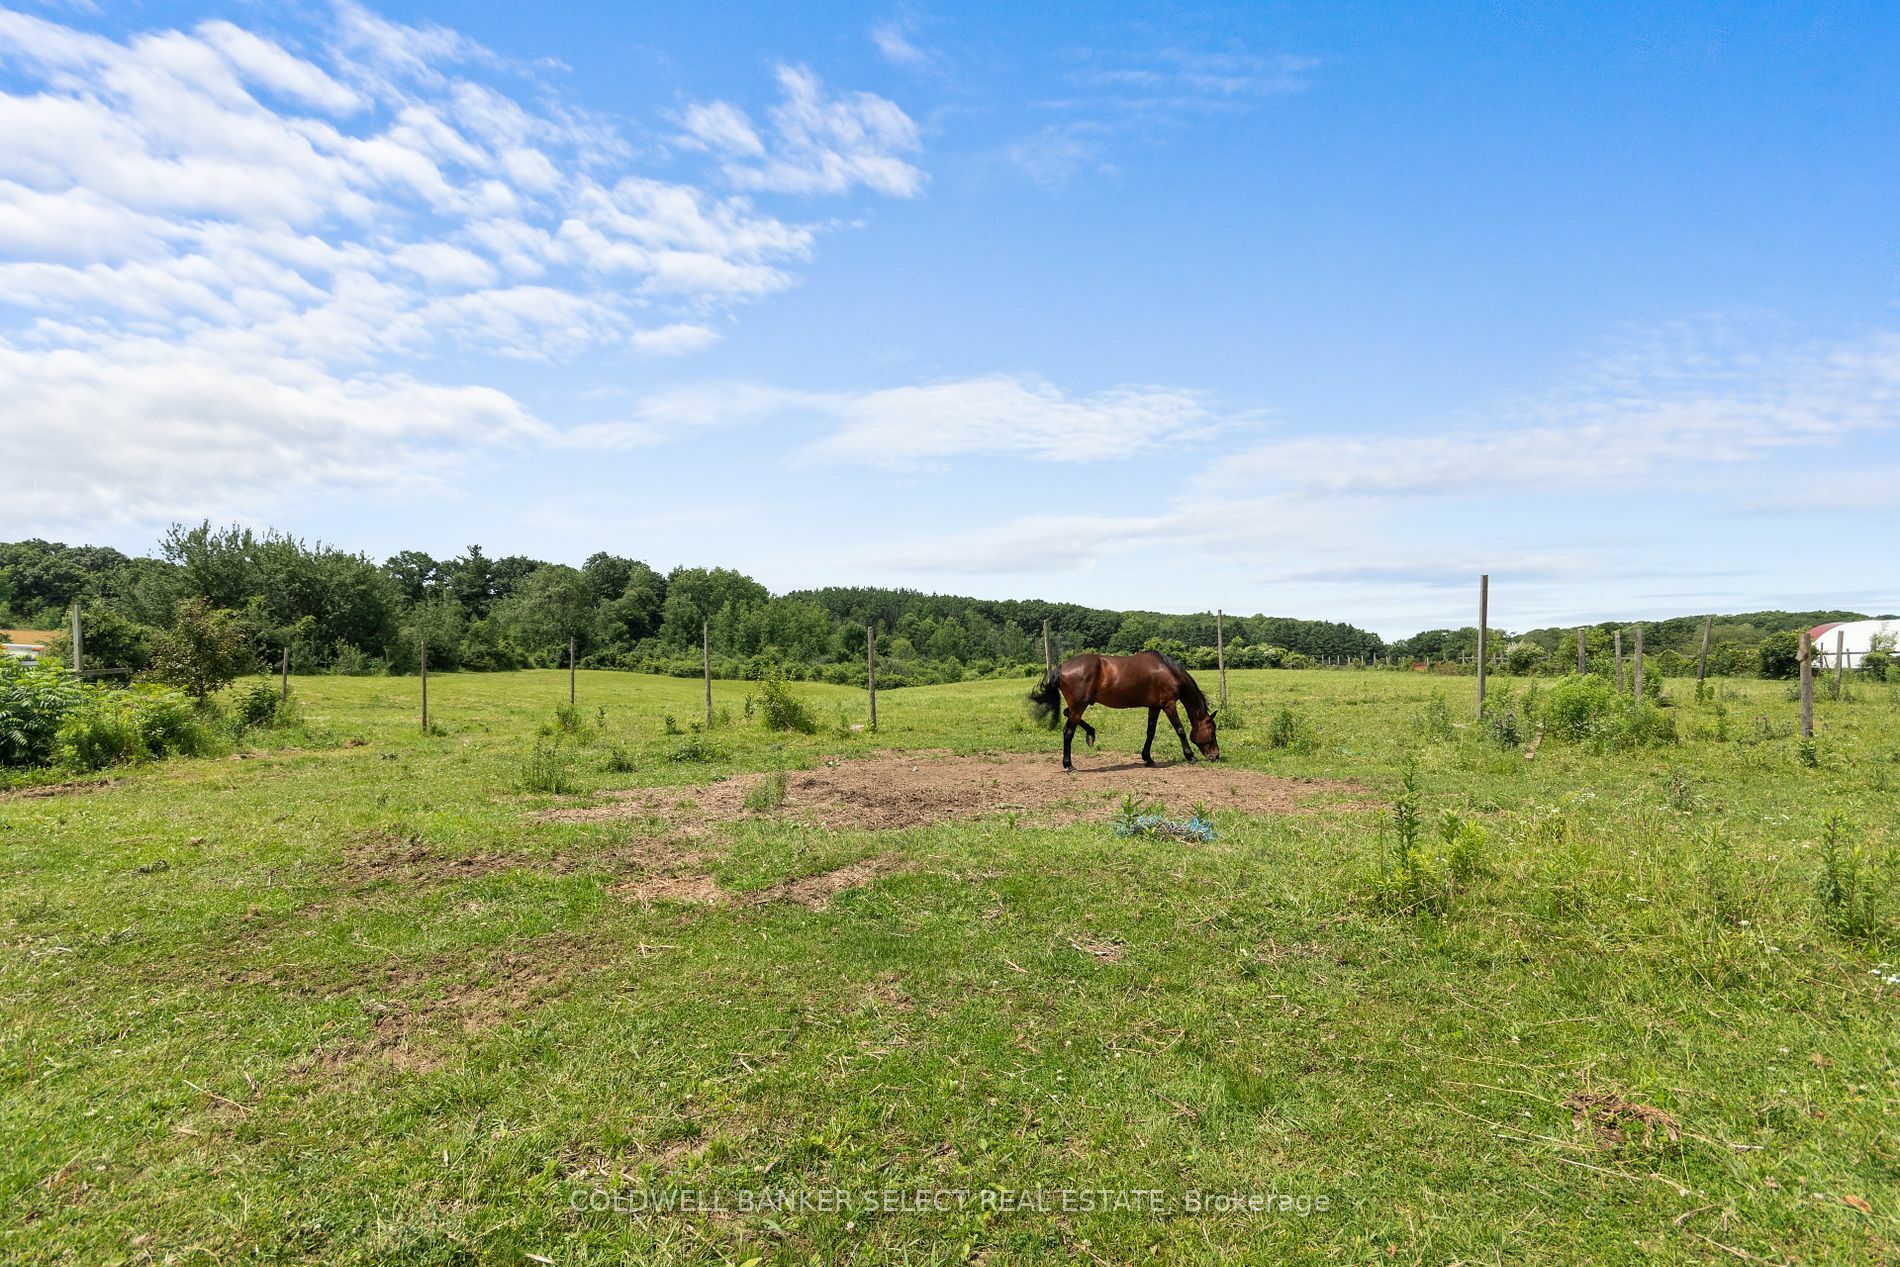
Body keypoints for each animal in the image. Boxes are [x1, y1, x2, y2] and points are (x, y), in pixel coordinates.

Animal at [1033, 653, 1223, 775]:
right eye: (1212, 731)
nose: (1216, 755)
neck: (1168, 671)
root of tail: (1060, 667)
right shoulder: (1168, 705)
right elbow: (1180, 730)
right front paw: (1190, 756)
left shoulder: (1154, 707)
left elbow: (1150, 732)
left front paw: (1148, 758)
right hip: (1080, 705)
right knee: (1068, 732)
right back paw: (1069, 765)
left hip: (1078, 706)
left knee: (1067, 713)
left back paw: (1091, 733)